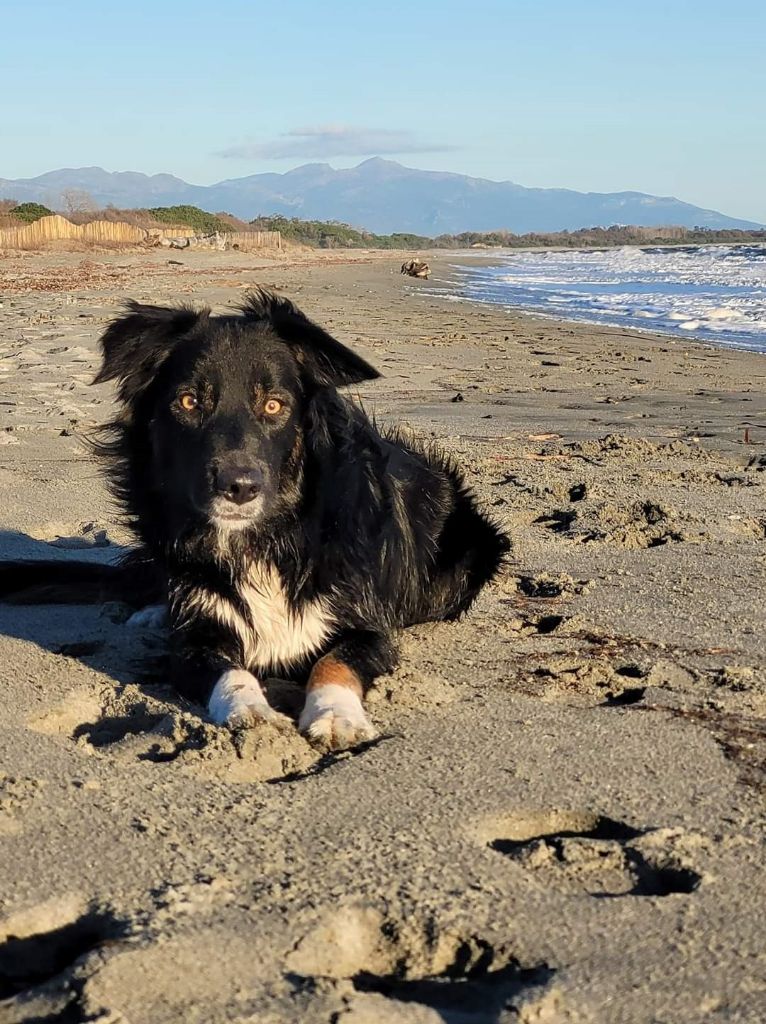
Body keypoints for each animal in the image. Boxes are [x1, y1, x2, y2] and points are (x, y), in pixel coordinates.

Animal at [2, 292, 512, 749]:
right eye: (189, 402)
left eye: (273, 405)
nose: (240, 487)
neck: (261, 538)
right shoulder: (195, 640)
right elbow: (228, 669)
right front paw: (251, 710)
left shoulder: (369, 625)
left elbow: (336, 661)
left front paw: (336, 715)